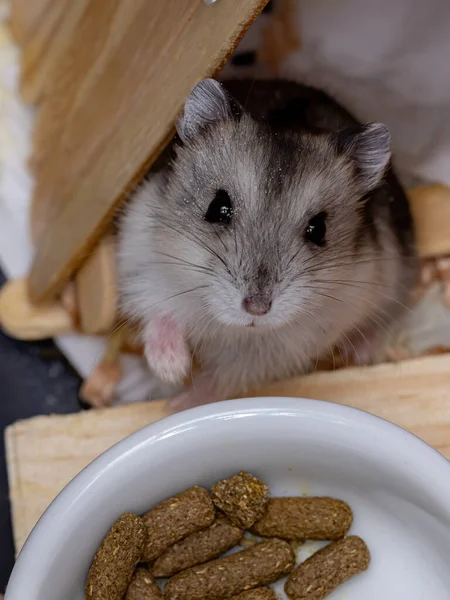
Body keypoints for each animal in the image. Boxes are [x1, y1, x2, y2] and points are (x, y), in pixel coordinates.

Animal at [118, 77, 416, 410]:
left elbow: (227, 375)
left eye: (319, 229)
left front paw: (181, 402)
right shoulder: (143, 263)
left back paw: (362, 352)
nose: (256, 309)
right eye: (217, 207)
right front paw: (171, 369)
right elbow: (160, 316)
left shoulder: (279, 350)